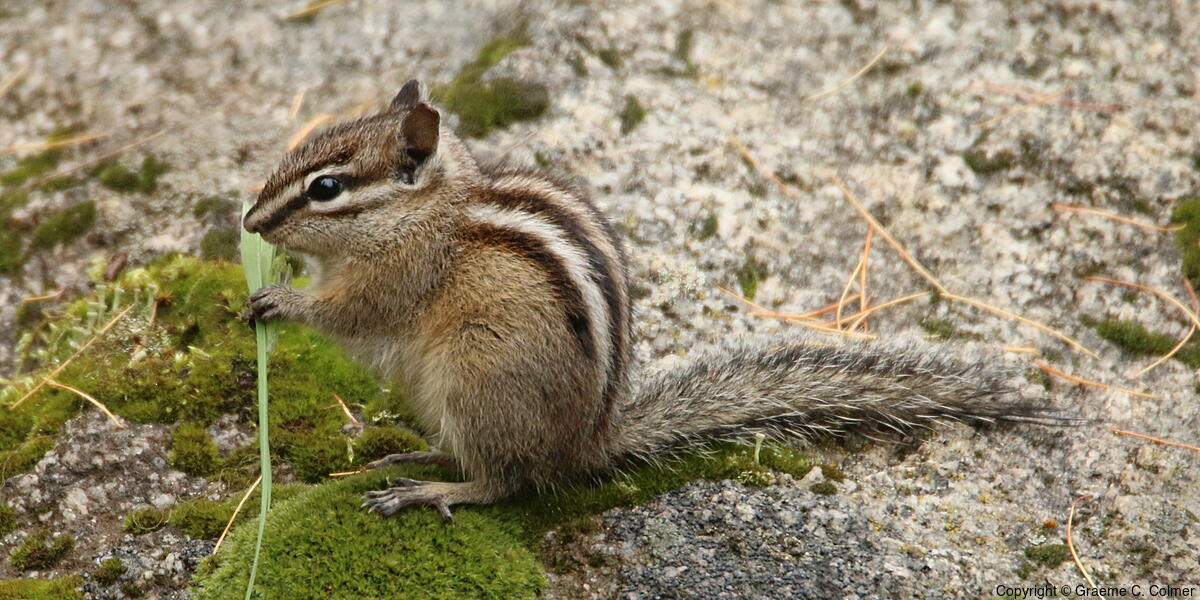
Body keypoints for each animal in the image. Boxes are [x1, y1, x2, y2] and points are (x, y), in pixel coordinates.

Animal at [242, 80, 1075, 521]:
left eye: (326, 187)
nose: (249, 222)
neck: (425, 212)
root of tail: (587, 443)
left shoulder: (400, 277)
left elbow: (348, 314)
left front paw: (280, 299)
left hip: (474, 374)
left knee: (507, 480)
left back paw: (430, 487)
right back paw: (417, 452)